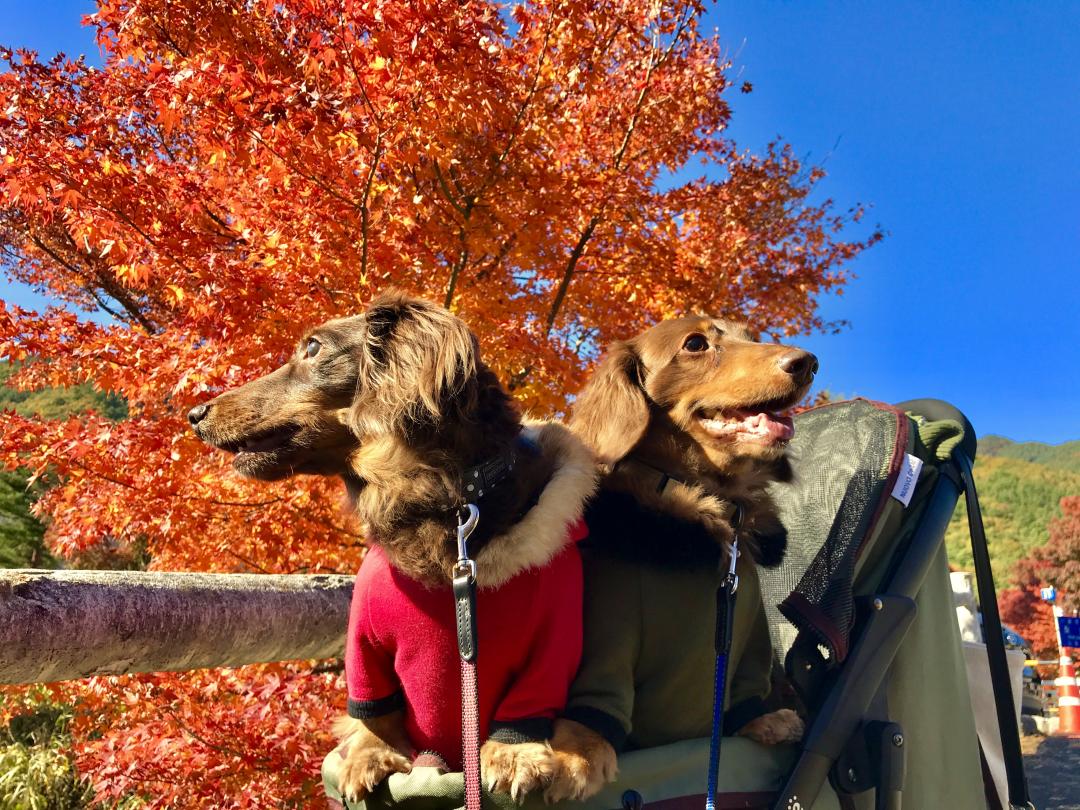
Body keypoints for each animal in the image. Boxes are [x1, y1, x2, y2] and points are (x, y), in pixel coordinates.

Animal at [184, 293, 591, 807]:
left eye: (313, 347)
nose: (194, 414)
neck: (441, 503)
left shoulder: (552, 638)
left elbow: (529, 702)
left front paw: (513, 754)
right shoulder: (366, 644)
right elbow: (373, 712)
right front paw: (368, 756)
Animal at [544, 313, 812, 803]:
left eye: (751, 336)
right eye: (695, 344)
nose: (808, 362)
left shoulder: (750, 636)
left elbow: (746, 685)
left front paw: (764, 719)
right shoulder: (609, 631)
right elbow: (597, 695)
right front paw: (579, 754)